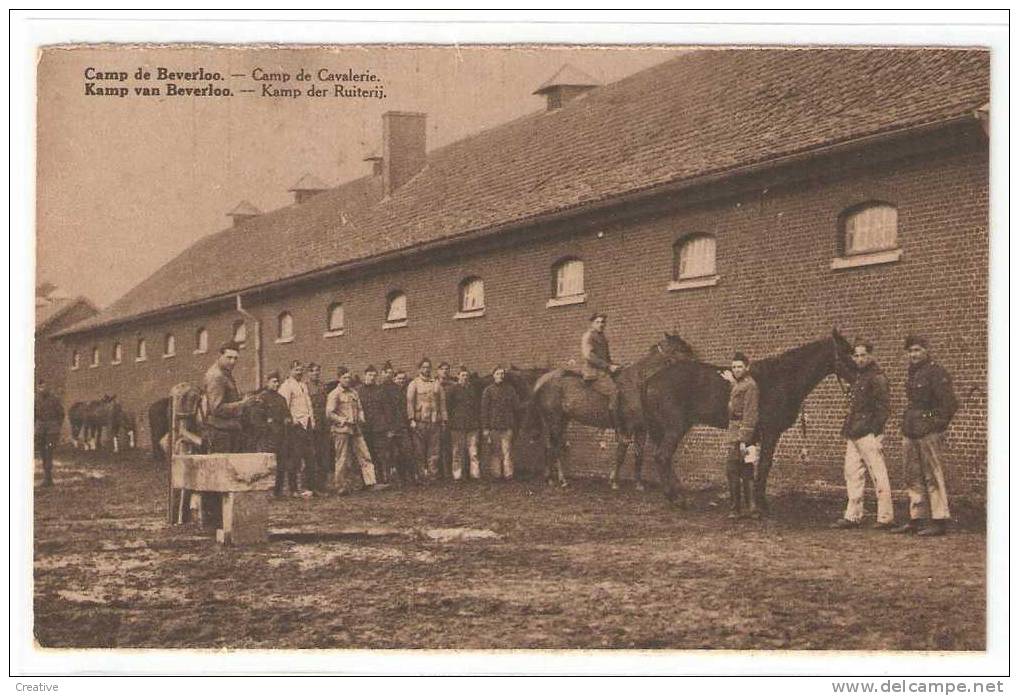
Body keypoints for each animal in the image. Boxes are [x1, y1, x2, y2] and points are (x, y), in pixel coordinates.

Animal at [648, 332, 855, 511]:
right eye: (846, 353)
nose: (860, 377)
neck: (783, 378)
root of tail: (651, 380)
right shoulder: (771, 432)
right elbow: (764, 465)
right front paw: (762, 504)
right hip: (675, 428)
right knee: (662, 457)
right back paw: (676, 499)